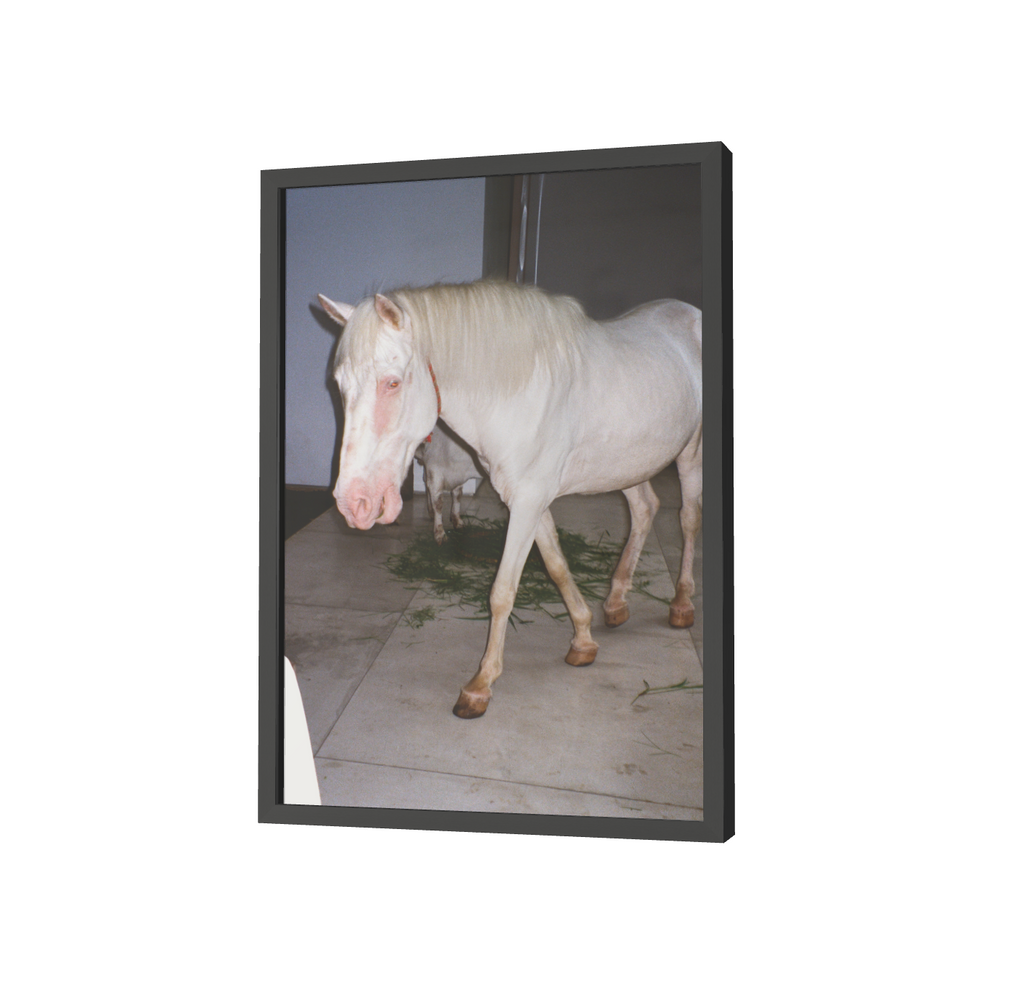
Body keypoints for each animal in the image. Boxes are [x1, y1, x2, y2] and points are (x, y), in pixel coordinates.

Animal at [317, 280, 702, 719]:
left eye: (393, 383)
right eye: (339, 385)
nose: (354, 504)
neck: (517, 392)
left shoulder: (529, 501)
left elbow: (502, 592)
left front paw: (480, 686)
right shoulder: (528, 499)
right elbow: (557, 567)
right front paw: (583, 639)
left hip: (690, 452)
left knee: (688, 518)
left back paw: (681, 606)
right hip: (628, 465)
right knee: (644, 510)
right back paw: (616, 603)